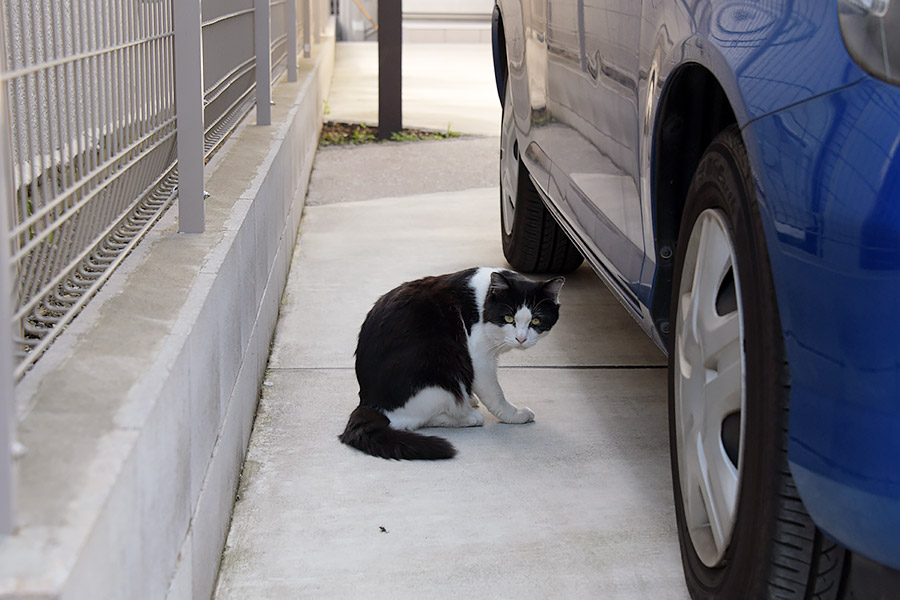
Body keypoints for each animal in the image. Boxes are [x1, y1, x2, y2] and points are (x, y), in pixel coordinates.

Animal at [338, 268, 564, 460]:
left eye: (536, 321)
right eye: (508, 318)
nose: (521, 339)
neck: (481, 301)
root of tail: (369, 403)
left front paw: (472, 396)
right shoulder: (480, 359)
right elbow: (496, 395)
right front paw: (514, 415)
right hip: (441, 367)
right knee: (412, 421)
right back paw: (468, 416)